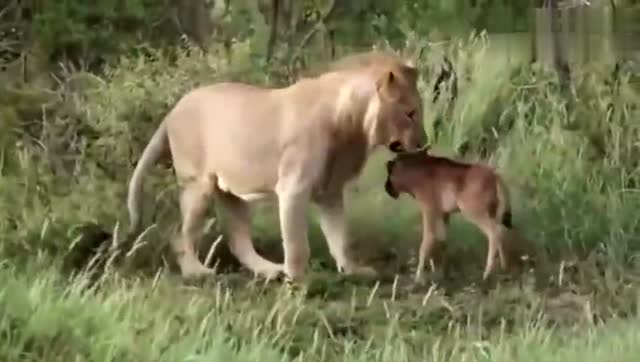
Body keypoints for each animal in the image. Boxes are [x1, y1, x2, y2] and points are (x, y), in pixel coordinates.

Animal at [125, 51, 428, 282]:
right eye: (410, 113)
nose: (424, 143)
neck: (355, 127)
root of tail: (172, 111)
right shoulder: (293, 188)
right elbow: (296, 243)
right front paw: (299, 280)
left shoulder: (330, 192)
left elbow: (340, 237)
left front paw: (353, 271)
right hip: (197, 185)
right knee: (179, 236)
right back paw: (197, 272)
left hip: (233, 193)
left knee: (238, 239)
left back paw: (269, 270)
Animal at [382, 146, 516, 282]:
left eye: (390, 172)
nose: (387, 188)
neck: (417, 172)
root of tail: (495, 177)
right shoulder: (444, 214)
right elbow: (443, 241)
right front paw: (444, 272)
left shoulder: (429, 211)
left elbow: (427, 242)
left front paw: (418, 277)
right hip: (493, 213)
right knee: (500, 233)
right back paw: (504, 268)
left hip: (474, 213)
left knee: (495, 232)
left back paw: (487, 273)